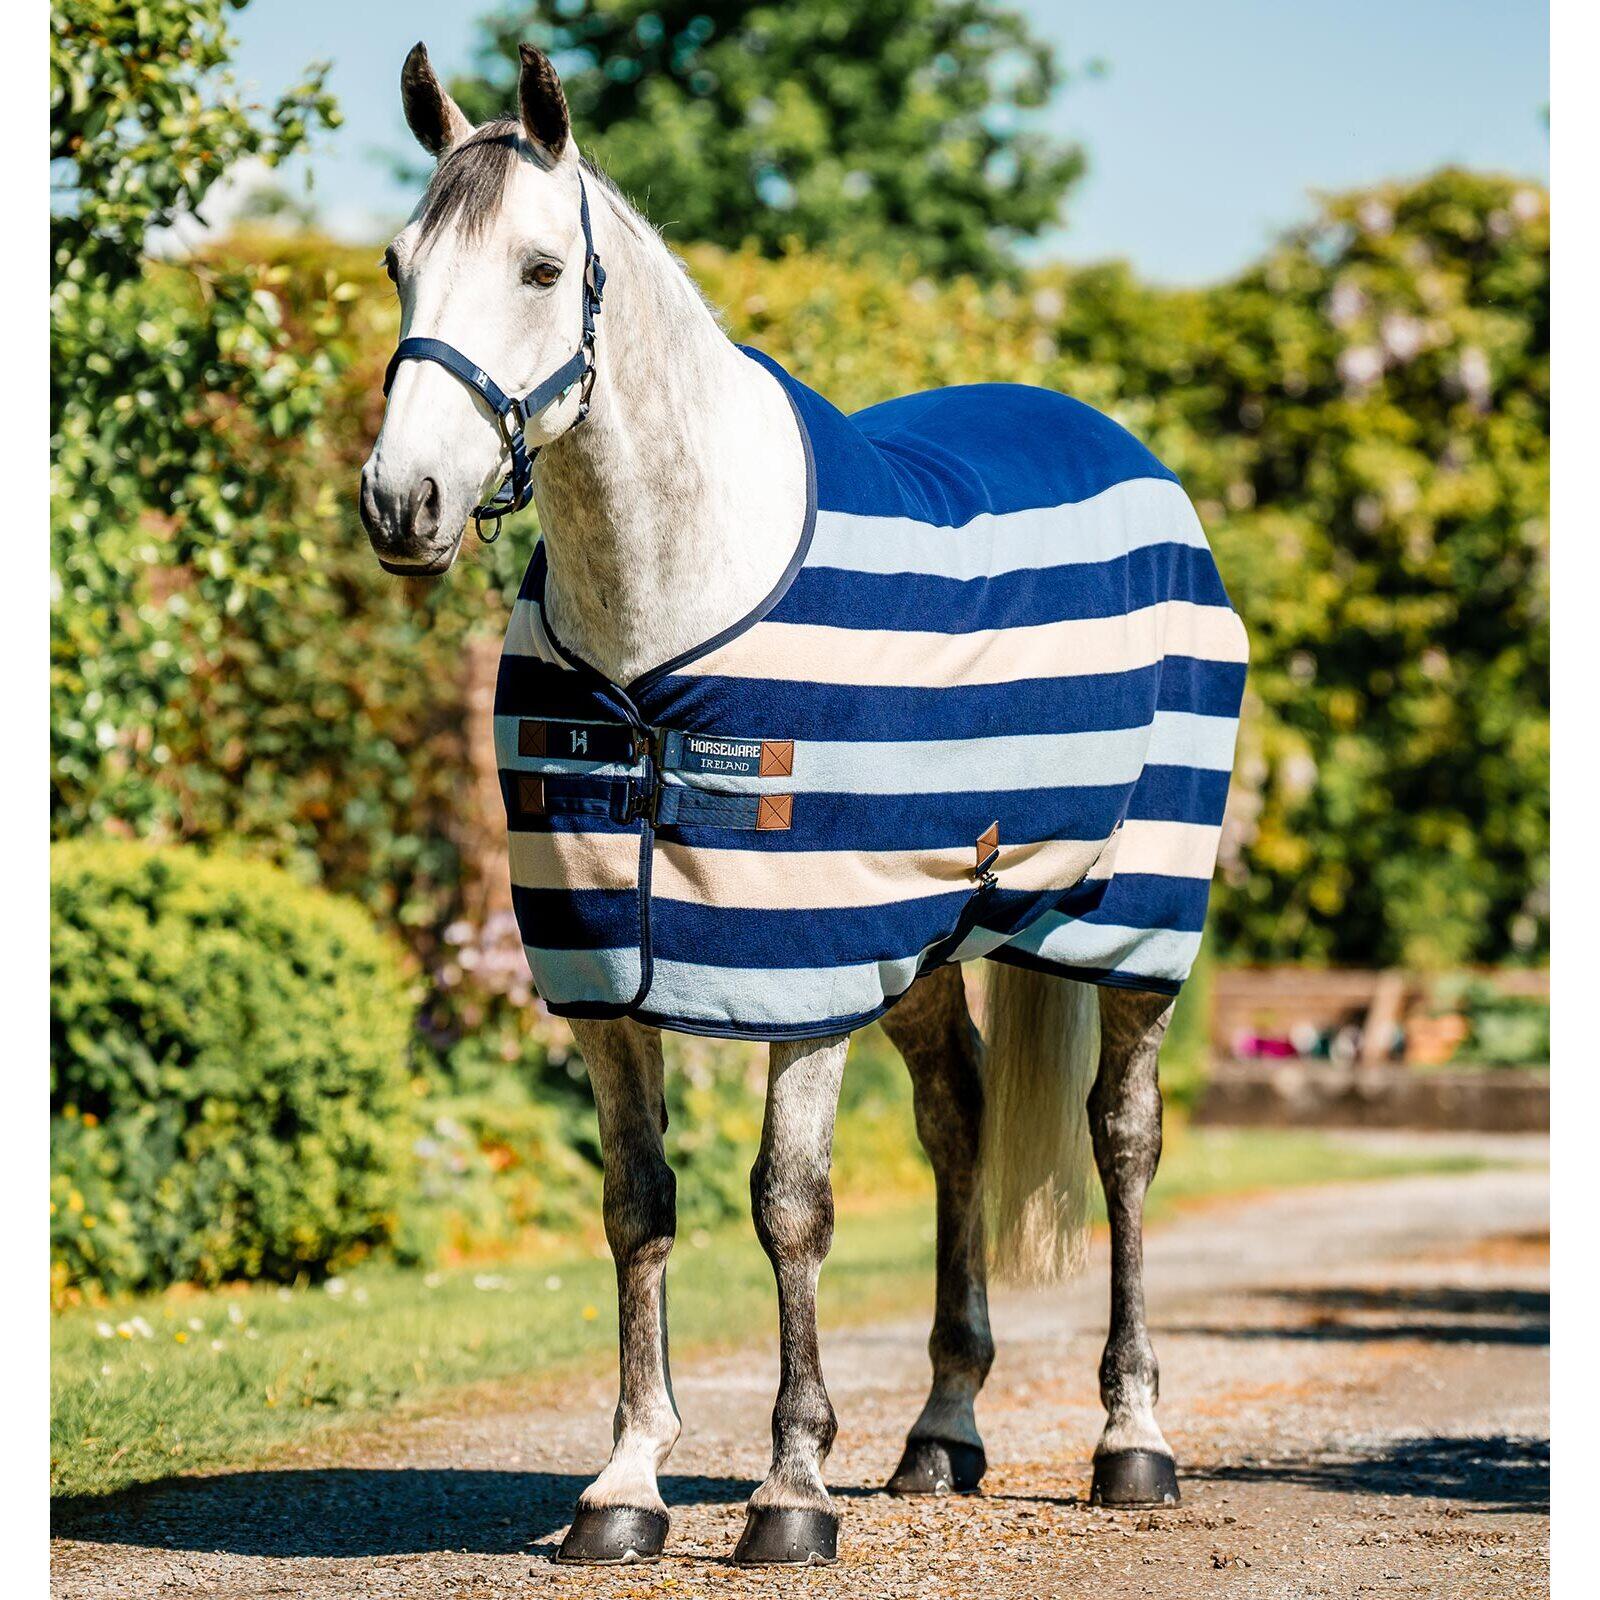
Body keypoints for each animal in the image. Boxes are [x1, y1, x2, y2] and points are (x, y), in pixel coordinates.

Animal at [359, 41, 1246, 1568]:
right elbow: (638, 1204)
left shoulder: (801, 969)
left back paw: (1131, 1440)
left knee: (1124, 1141)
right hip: (931, 936)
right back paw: (941, 1433)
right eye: (399, 265)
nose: (401, 501)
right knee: (956, 1119)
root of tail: (1124, 447)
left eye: (539, 268)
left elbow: (789, 1207)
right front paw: (624, 1485)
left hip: (1133, 922)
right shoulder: (607, 975)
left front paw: (788, 1490)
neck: (663, 634)